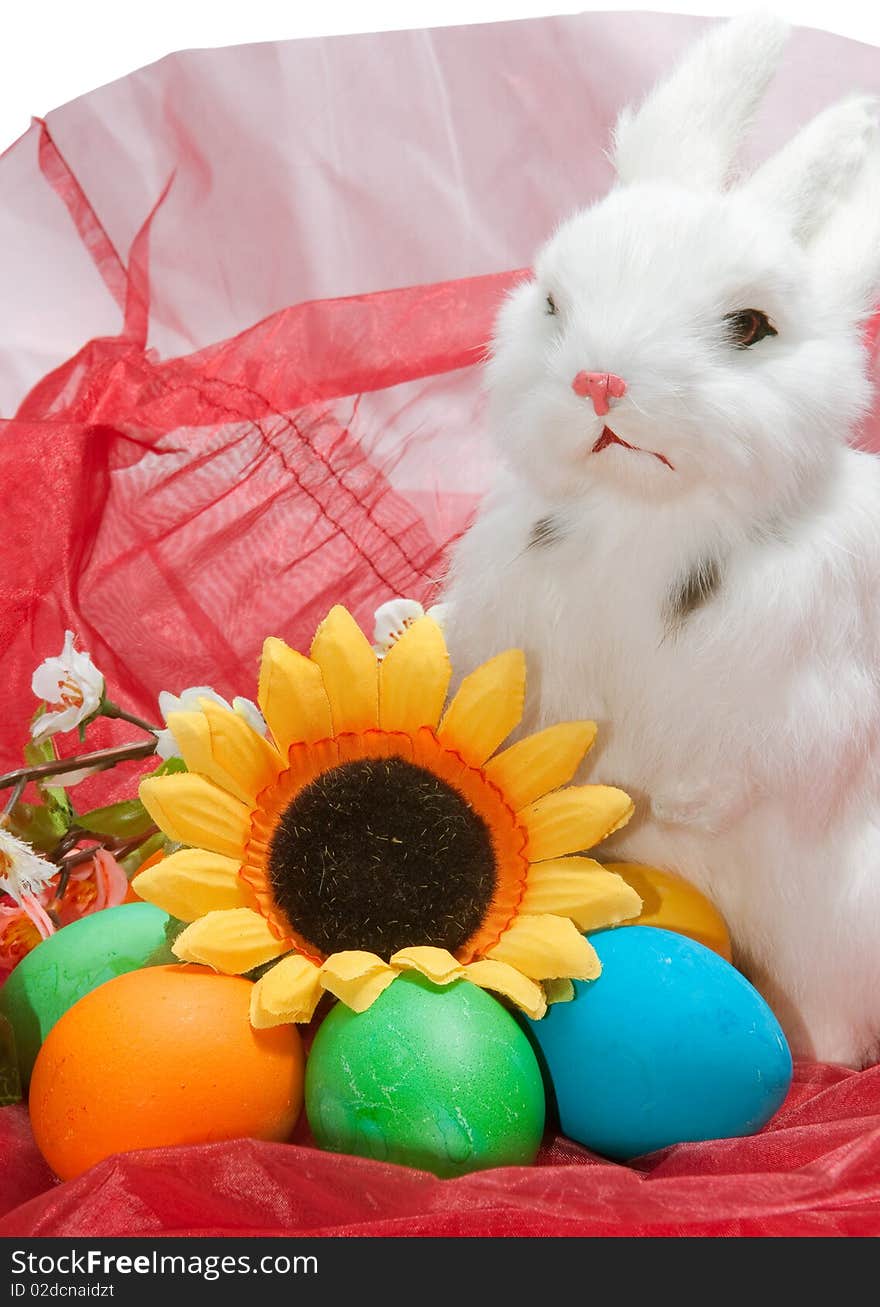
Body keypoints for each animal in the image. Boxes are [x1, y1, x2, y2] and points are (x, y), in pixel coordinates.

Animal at [441, 15, 878, 1066]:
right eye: (552, 303)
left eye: (750, 326)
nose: (597, 379)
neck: (641, 515)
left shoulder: (816, 686)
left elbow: (771, 758)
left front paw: (678, 800)